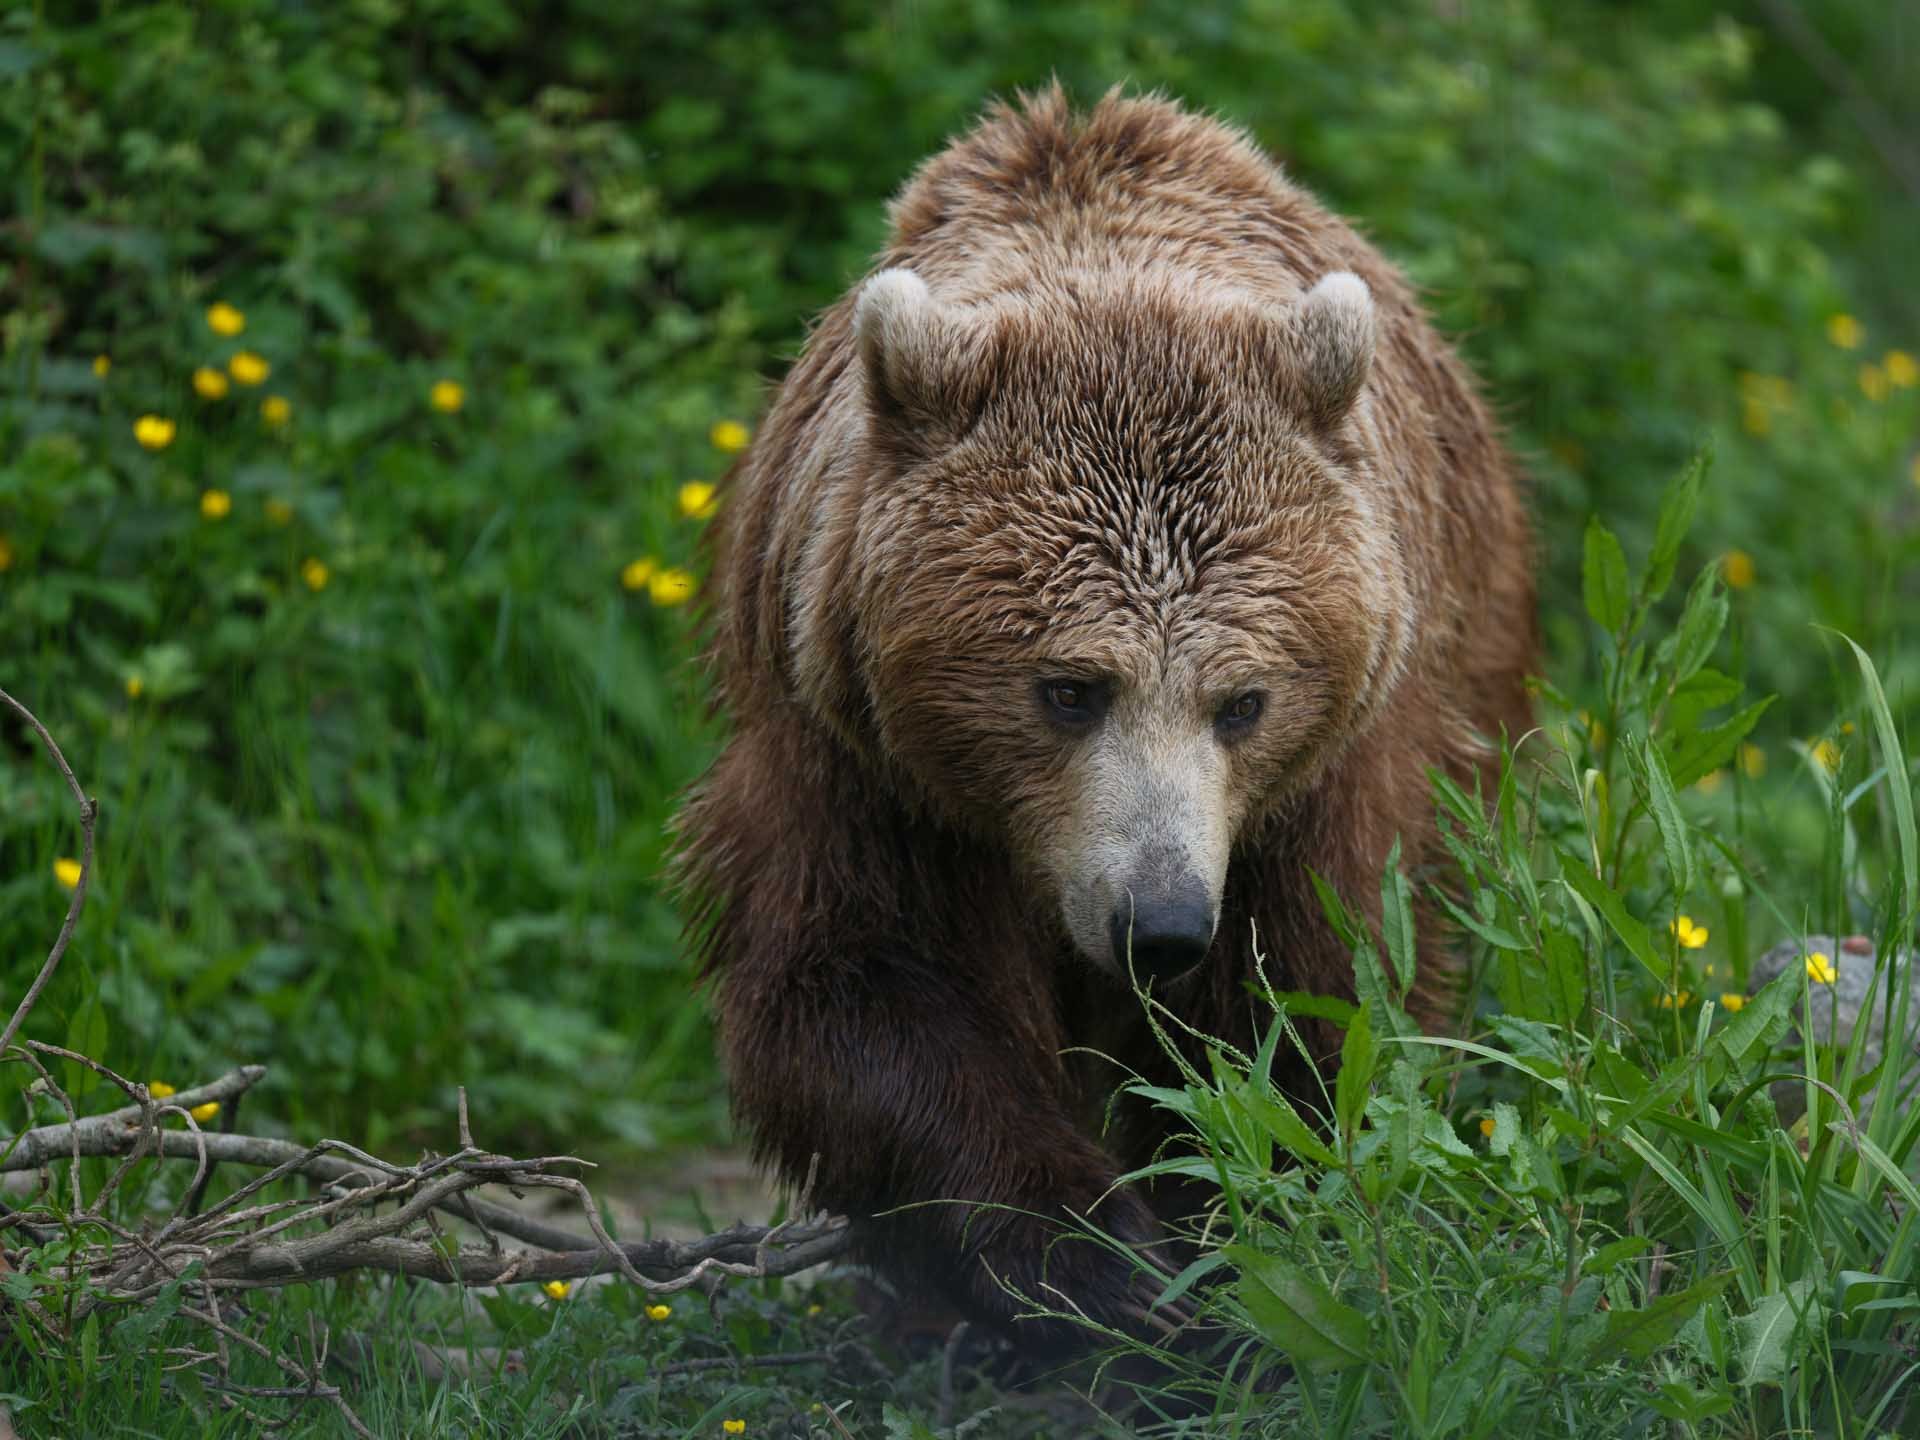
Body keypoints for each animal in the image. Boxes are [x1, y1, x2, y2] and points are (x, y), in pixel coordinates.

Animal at [676, 86, 1535, 1358]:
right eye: (1068, 687)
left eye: (1244, 700)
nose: (1159, 922)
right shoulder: (866, 763)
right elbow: (861, 989)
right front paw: (1086, 1257)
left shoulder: (1328, 780)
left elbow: (1312, 998)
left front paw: (1233, 1243)